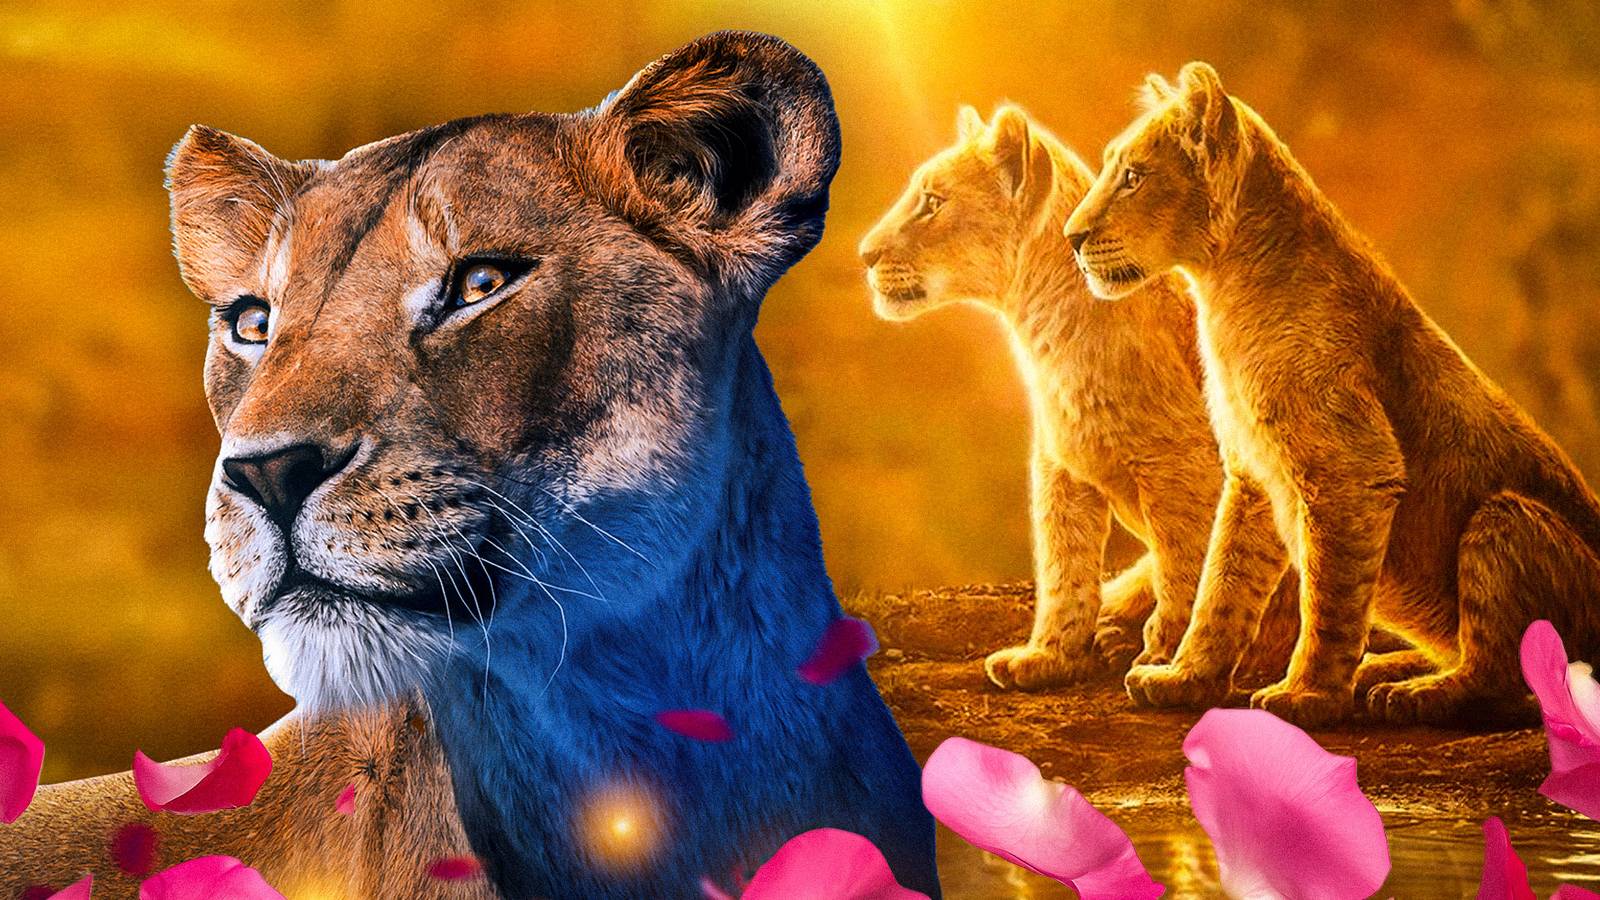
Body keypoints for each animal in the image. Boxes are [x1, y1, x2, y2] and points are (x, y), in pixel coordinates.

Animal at [857, 105, 1291, 693]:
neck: (1043, 331)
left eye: (932, 202)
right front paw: (1049, 656)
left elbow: (1188, 561)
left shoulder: (1177, 466)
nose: (864, 255)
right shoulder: (1059, 468)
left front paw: (1165, 654)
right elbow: (1065, 563)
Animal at [1065, 61, 1600, 728]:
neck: (1223, 290)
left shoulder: (1350, 470)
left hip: (1504, 519)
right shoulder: (1251, 473)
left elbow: (1328, 594)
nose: (1071, 236)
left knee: (1501, 674)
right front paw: (1185, 679)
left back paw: (1417, 692)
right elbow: (1223, 584)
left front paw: (1307, 696)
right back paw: (1389, 668)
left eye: (1133, 177)